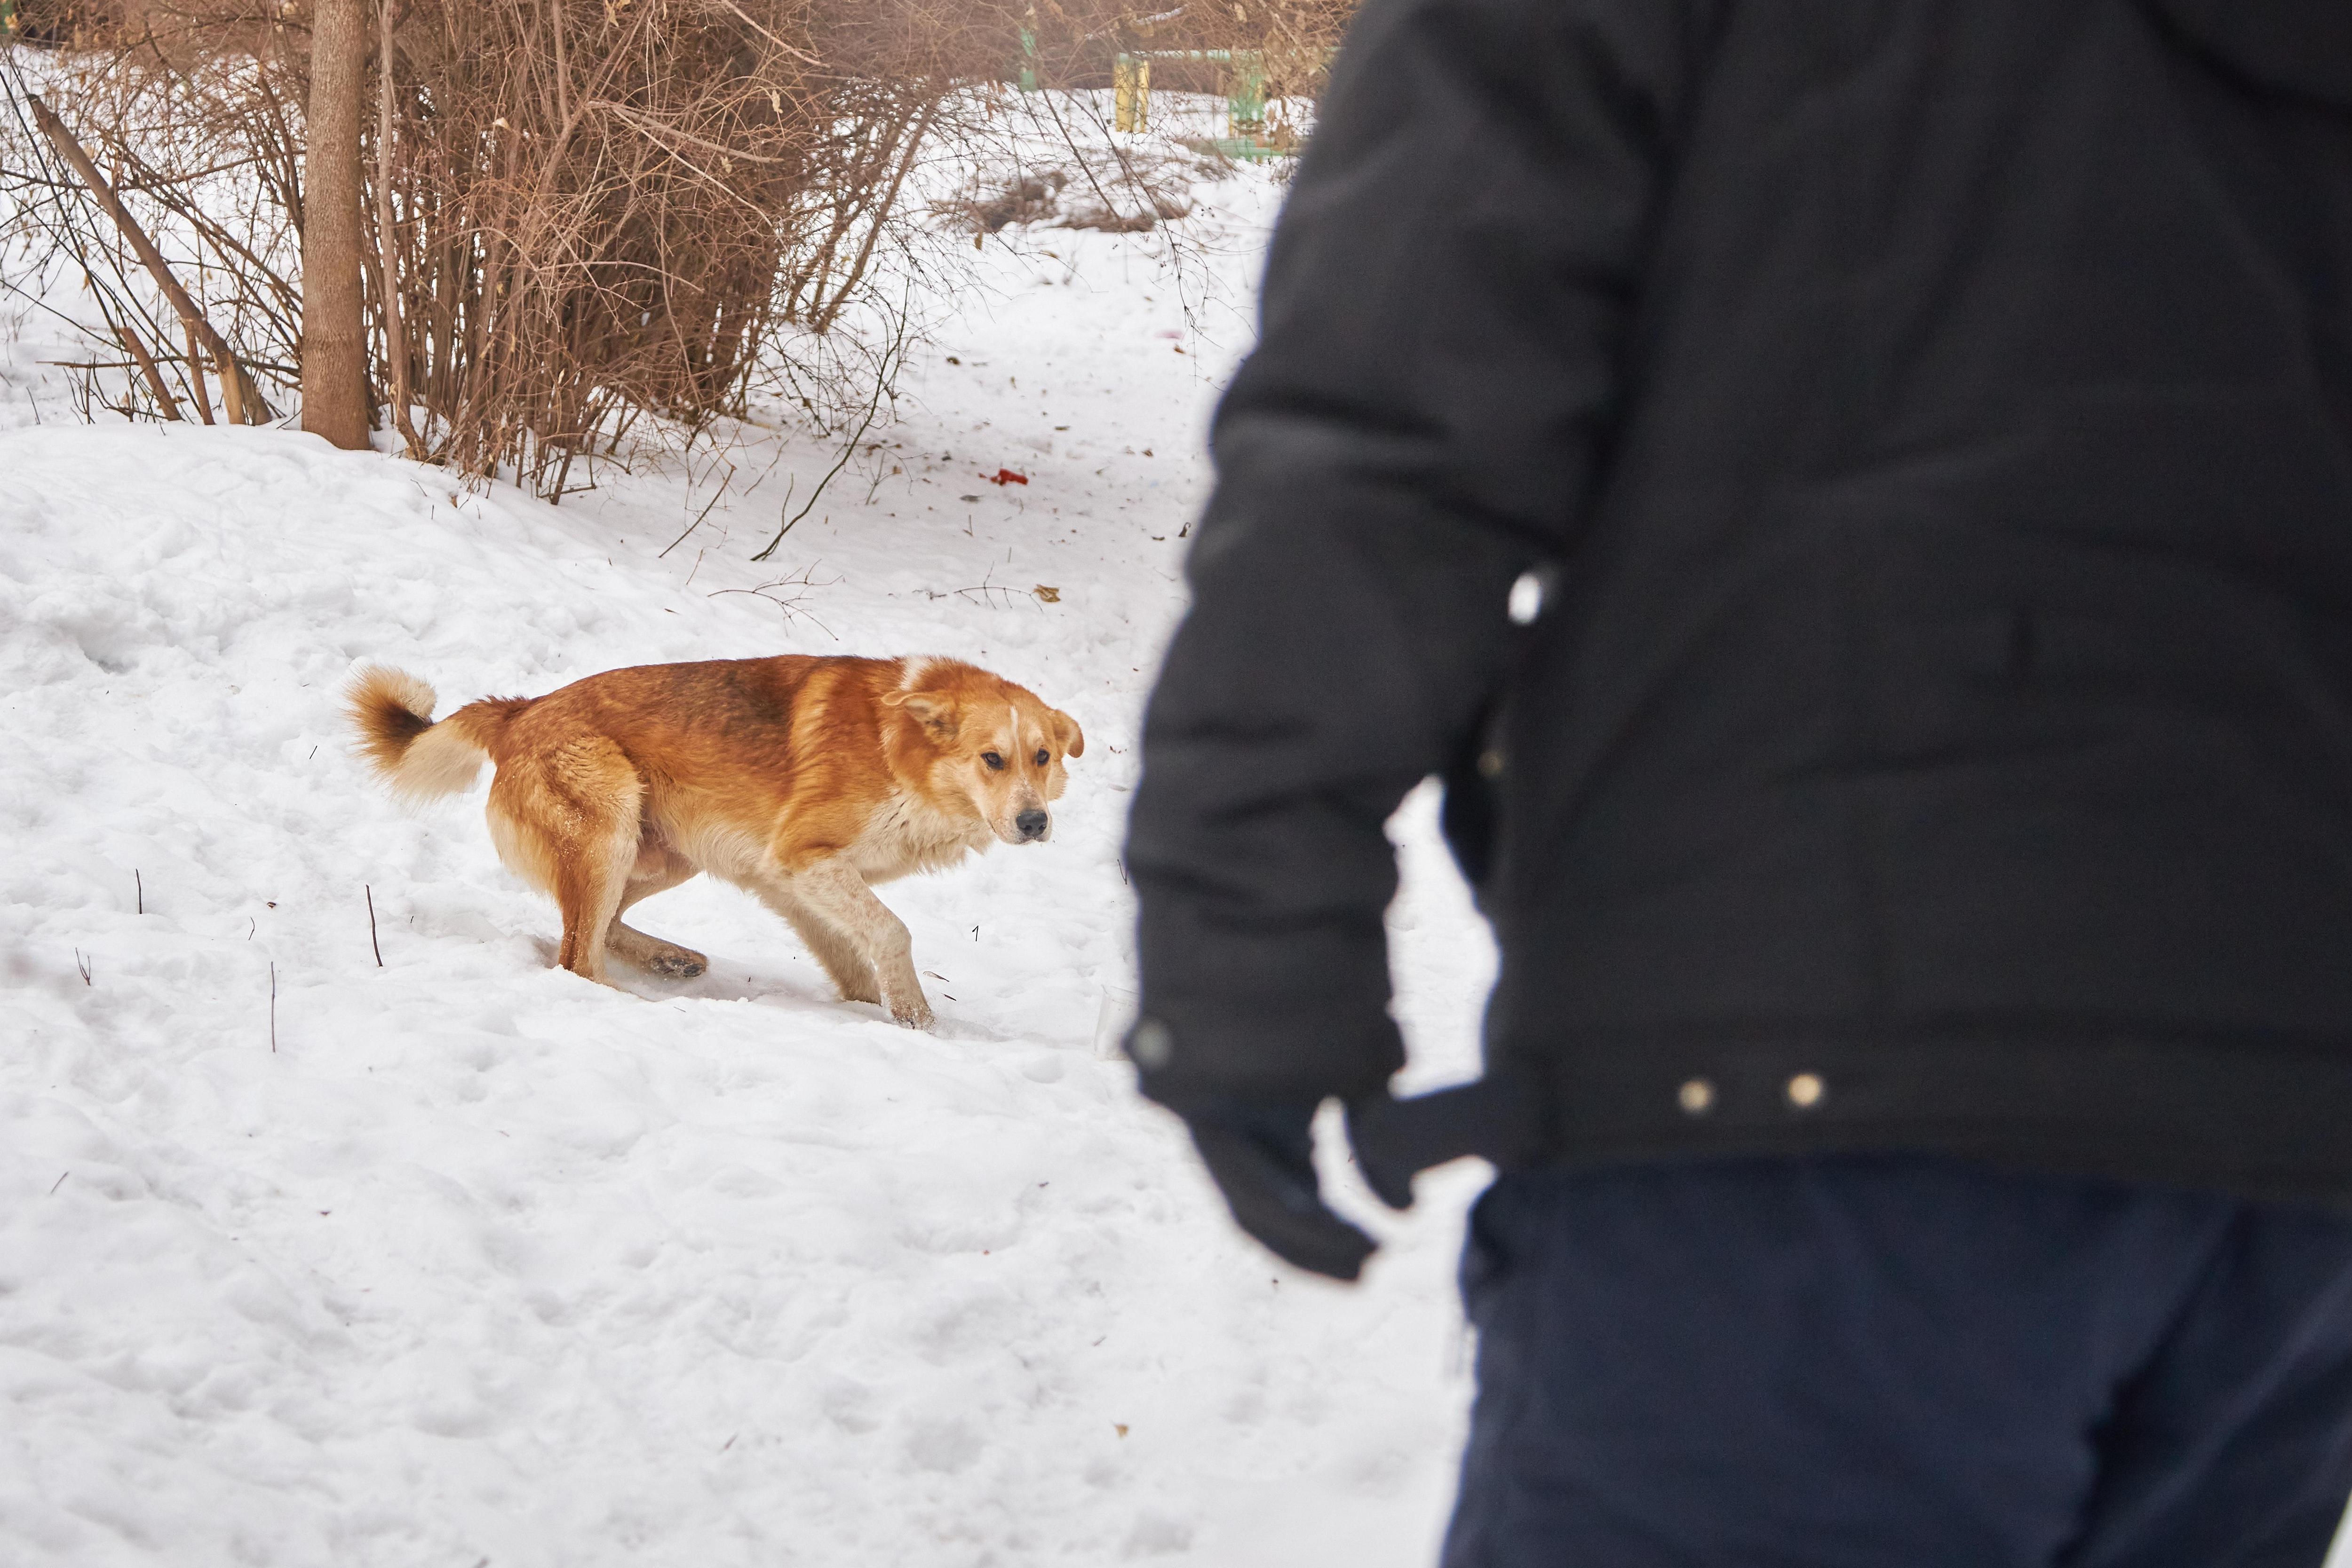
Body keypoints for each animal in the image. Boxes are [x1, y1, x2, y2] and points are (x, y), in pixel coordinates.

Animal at [348, 653, 1082, 1029]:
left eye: (1042, 757)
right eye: (992, 759)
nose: (1034, 823)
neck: (901, 748)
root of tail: (519, 711)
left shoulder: (793, 882)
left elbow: (854, 959)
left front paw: (877, 1014)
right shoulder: (802, 860)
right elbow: (892, 932)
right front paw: (915, 1016)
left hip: (667, 852)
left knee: (598, 927)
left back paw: (670, 960)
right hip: (611, 823)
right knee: (576, 958)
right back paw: (640, 1004)